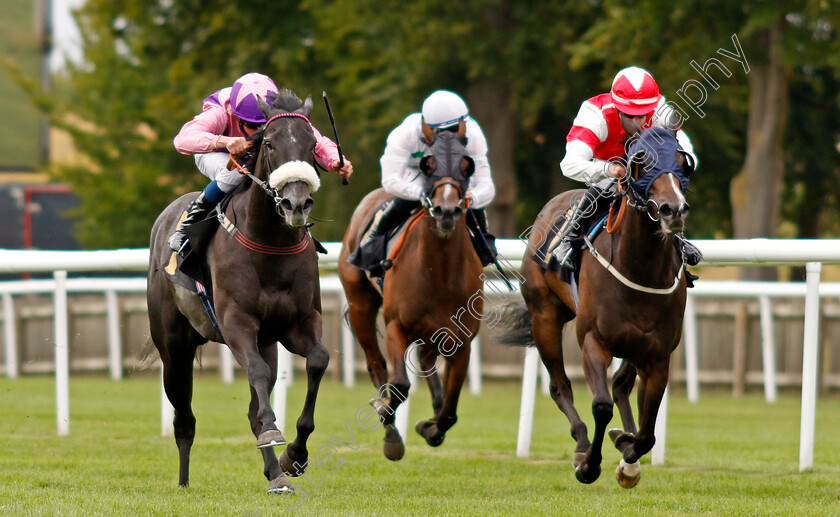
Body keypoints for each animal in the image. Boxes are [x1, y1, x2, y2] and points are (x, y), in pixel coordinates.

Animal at [146, 90, 330, 494]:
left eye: (312, 145)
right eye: (271, 143)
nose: (296, 204)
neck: (270, 244)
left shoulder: (298, 323)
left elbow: (317, 361)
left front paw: (294, 455)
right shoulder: (236, 323)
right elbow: (258, 376)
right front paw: (276, 434)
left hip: (267, 341)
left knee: (252, 406)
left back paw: (276, 476)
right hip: (174, 348)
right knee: (183, 417)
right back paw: (183, 482)